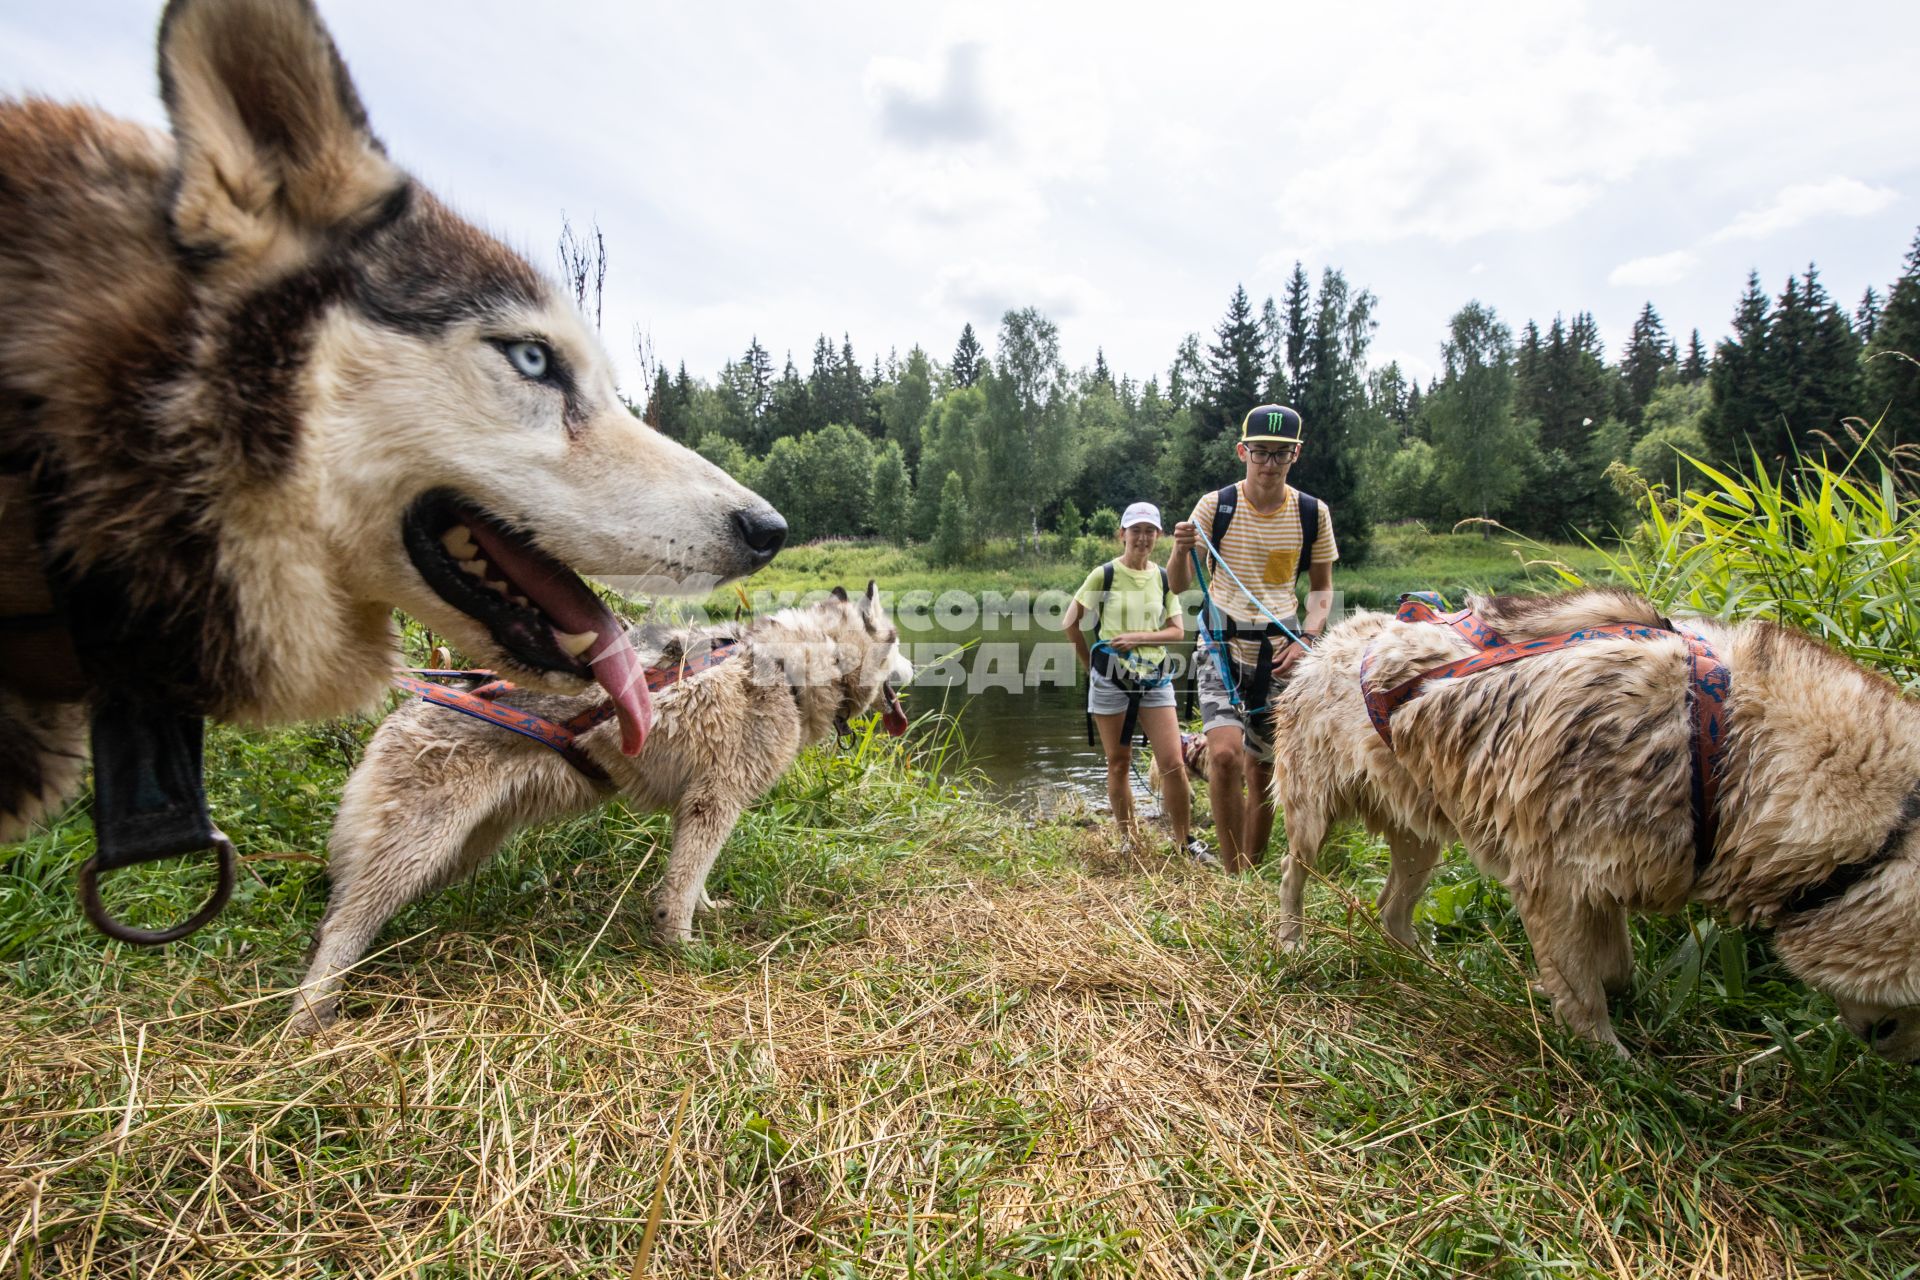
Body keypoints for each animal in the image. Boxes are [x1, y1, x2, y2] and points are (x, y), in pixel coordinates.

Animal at [286, 587, 913, 1036]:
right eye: (898, 640)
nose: (919, 672)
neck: (795, 665)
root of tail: (407, 706)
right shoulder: (715, 802)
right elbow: (679, 890)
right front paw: (682, 949)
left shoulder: (700, 809)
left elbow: (693, 882)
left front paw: (705, 912)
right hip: (419, 851)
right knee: (341, 928)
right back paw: (311, 1018)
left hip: (457, 851)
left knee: (336, 916)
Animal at [1274, 591, 1920, 1059]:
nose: (1902, 1064)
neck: (1721, 749)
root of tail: (1329, 637)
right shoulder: (1553, 882)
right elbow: (1587, 1000)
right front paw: (1620, 1072)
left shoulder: (1604, 876)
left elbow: (1614, 973)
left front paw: (1557, 996)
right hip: (1313, 817)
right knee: (1290, 874)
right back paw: (1292, 945)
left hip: (1420, 839)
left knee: (1390, 912)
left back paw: (1430, 972)